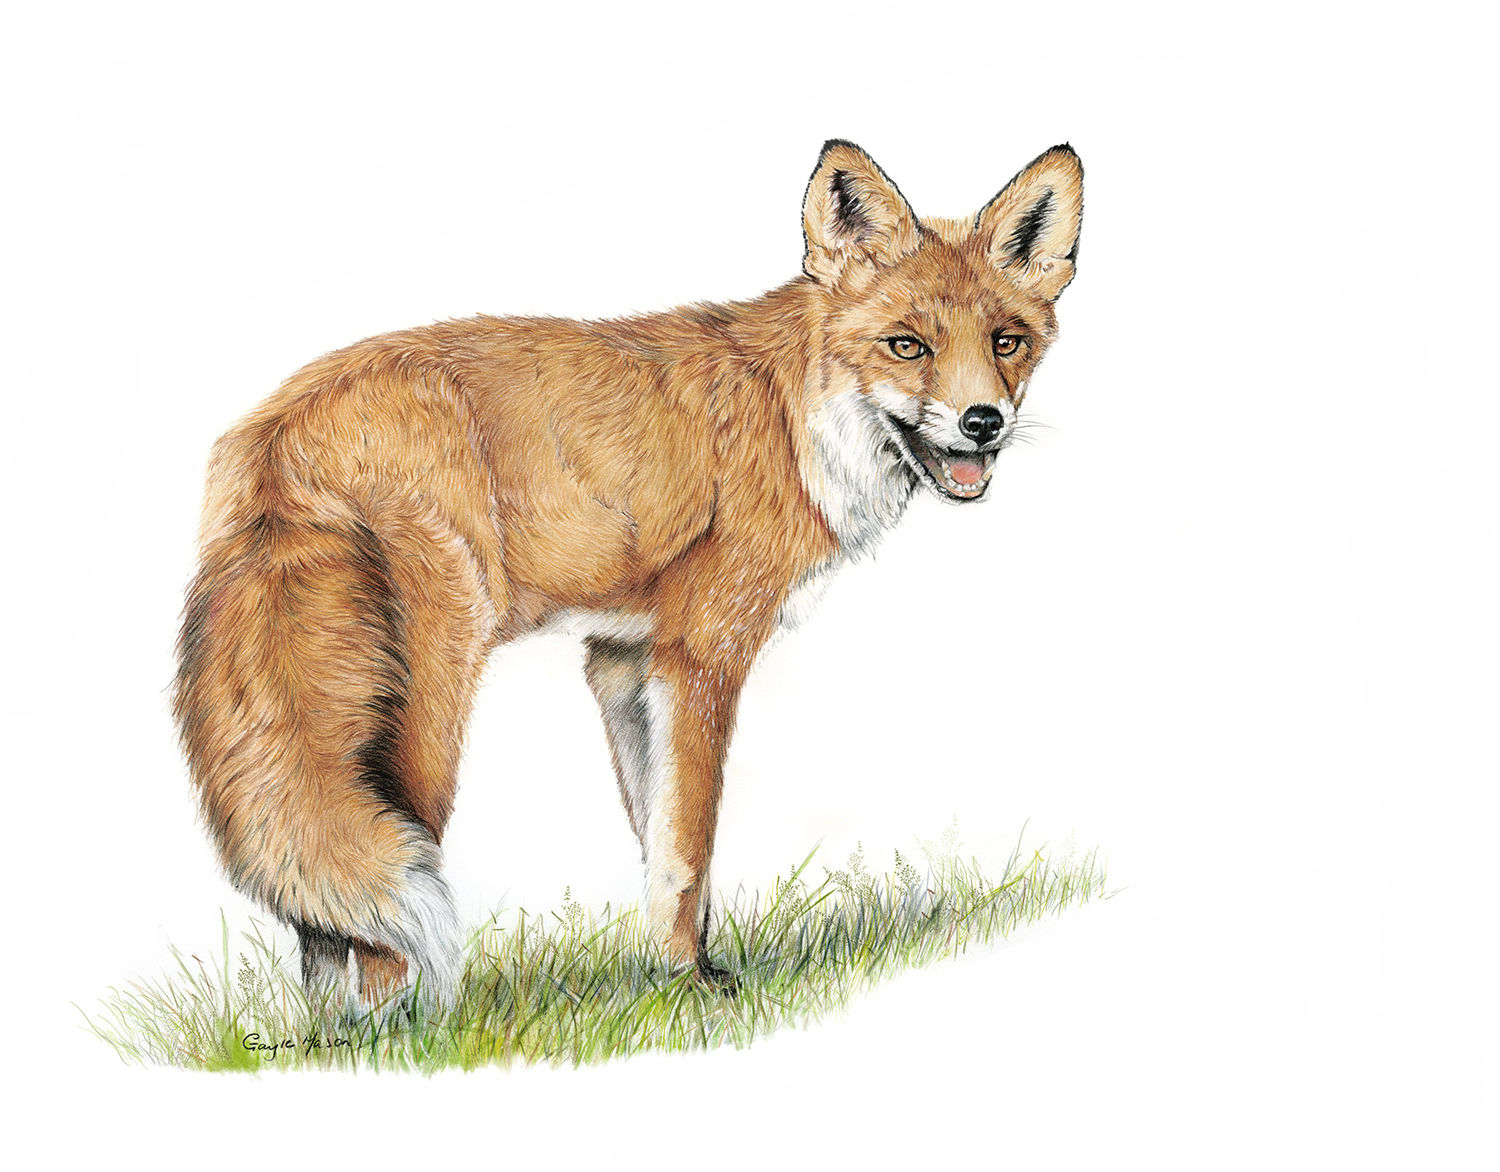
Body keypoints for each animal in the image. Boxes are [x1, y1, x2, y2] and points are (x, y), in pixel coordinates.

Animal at [173, 140, 1084, 1015]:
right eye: (907, 346)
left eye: (1006, 342)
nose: (983, 422)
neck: (798, 424)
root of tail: (279, 430)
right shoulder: (704, 652)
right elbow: (689, 846)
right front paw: (698, 987)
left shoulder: (622, 658)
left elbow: (663, 848)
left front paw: (674, 974)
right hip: (431, 697)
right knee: (385, 898)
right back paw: (402, 1029)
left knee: (319, 916)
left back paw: (328, 1034)